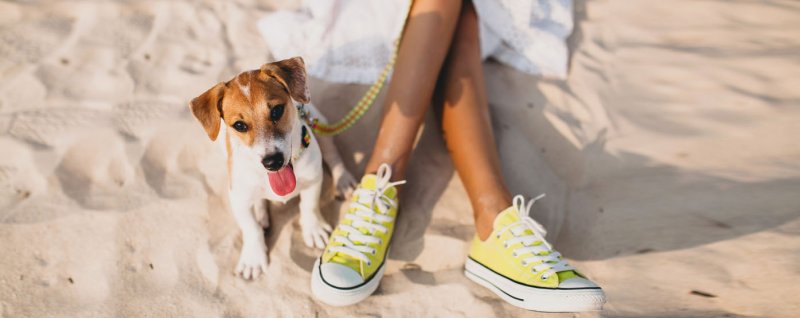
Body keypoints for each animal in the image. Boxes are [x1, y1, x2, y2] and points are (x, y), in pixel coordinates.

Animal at [189, 56, 354, 278]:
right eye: (239, 125)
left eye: (276, 111)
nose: (272, 162)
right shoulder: (239, 200)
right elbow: (250, 228)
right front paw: (253, 257)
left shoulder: (314, 178)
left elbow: (309, 206)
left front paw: (314, 229)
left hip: (322, 125)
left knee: (333, 154)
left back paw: (343, 180)